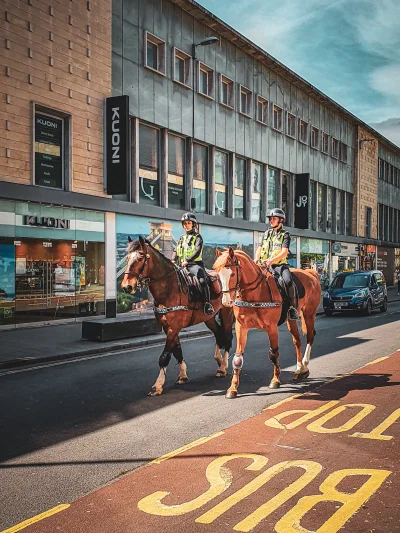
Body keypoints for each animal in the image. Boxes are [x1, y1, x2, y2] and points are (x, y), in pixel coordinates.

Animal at [121, 237, 234, 394]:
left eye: (140, 257)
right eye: (127, 258)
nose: (127, 286)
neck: (169, 288)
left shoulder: (173, 327)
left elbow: (164, 356)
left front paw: (158, 385)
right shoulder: (167, 327)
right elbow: (177, 351)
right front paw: (183, 376)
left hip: (226, 311)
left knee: (228, 337)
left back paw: (223, 367)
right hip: (209, 317)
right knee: (218, 334)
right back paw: (218, 359)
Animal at [212, 247, 322, 396]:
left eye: (233, 274)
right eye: (218, 275)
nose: (226, 301)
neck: (255, 293)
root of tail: (311, 273)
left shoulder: (272, 328)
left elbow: (274, 353)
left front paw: (275, 380)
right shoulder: (242, 327)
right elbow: (238, 357)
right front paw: (233, 387)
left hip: (309, 313)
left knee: (310, 335)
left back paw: (304, 364)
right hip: (291, 319)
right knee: (297, 340)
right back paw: (299, 369)